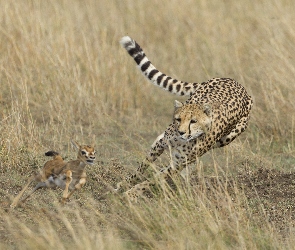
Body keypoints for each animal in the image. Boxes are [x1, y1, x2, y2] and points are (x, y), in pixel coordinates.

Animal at [117, 35, 253, 201]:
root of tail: (238, 84)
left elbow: (154, 179)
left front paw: (132, 193)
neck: (182, 140)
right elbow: (144, 165)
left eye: (193, 121)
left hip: (225, 139)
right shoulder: (161, 144)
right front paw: (126, 183)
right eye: (178, 119)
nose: (181, 132)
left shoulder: (179, 163)